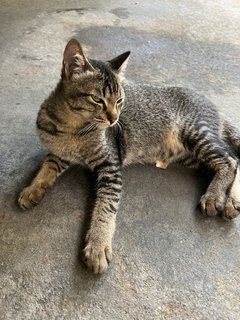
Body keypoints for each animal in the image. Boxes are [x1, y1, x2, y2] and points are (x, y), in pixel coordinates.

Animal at [18, 37, 240, 272]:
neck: (70, 128)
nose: (115, 119)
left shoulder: (111, 166)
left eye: (119, 101)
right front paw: (33, 189)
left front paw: (98, 245)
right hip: (190, 154)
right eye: (97, 99)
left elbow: (106, 207)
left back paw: (216, 196)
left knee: (229, 160)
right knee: (234, 159)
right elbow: (46, 169)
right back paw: (231, 201)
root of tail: (215, 108)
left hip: (196, 132)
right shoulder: (59, 154)